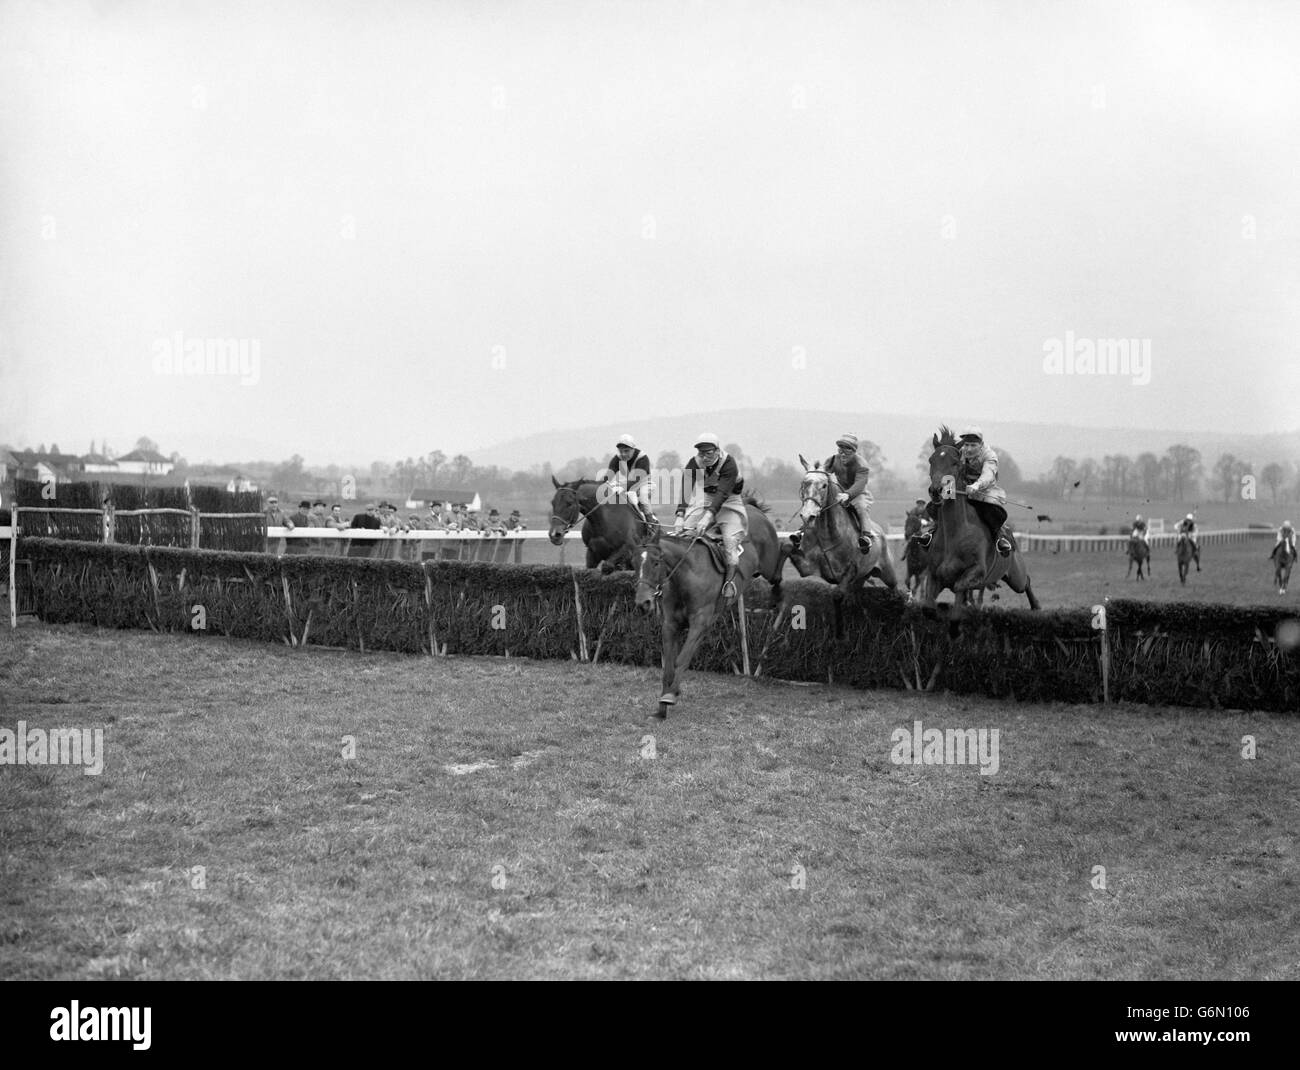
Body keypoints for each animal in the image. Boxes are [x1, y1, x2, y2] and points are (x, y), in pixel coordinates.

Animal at [631, 499, 780, 717]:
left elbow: (681, 660)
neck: (685, 577)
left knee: (781, 564)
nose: (643, 603)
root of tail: (754, 509)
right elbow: (668, 666)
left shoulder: (698, 624)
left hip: (769, 565)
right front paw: (661, 708)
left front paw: (670, 696)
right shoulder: (671, 625)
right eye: (634, 563)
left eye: (656, 562)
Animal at [785, 455, 899, 637]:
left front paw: (839, 631)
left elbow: (837, 595)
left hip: (888, 573)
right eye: (804, 483)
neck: (828, 535)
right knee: (857, 595)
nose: (808, 516)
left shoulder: (850, 570)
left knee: (897, 590)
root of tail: (881, 532)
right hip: (861, 579)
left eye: (824, 485)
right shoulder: (808, 566)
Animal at [920, 426, 1040, 626]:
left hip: (1016, 576)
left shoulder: (977, 573)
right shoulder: (934, 575)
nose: (936, 490)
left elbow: (960, 589)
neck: (954, 535)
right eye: (931, 460)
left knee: (1027, 581)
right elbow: (928, 607)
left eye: (955, 463)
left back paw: (1036, 606)